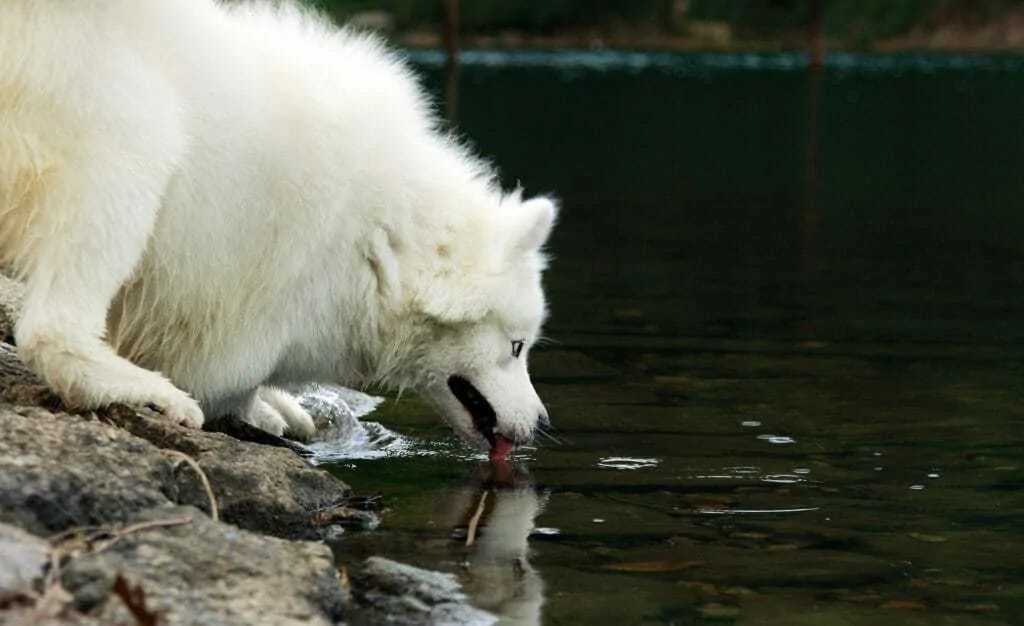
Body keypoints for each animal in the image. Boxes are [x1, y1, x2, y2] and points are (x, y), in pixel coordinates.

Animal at [0, 0, 552, 452]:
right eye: (516, 346)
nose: (545, 423)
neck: (384, 235)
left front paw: (278, 408)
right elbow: (229, 378)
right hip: (133, 147)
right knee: (49, 329)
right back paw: (144, 390)